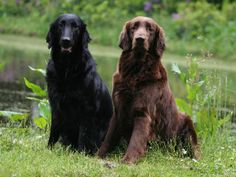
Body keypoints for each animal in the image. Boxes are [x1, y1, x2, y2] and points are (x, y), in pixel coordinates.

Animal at [46, 13, 113, 153]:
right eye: (60, 25)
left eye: (75, 26)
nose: (66, 40)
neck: (67, 69)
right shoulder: (55, 104)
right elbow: (54, 131)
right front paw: (49, 149)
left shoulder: (87, 108)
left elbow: (83, 134)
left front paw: (80, 153)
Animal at [97, 16, 199, 163]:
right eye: (134, 27)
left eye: (150, 29)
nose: (140, 39)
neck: (136, 72)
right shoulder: (118, 109)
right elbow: (108, 139)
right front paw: (98, 155)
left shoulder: (143, 113)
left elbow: (136, 140)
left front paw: (128, 160)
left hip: (187, 122)